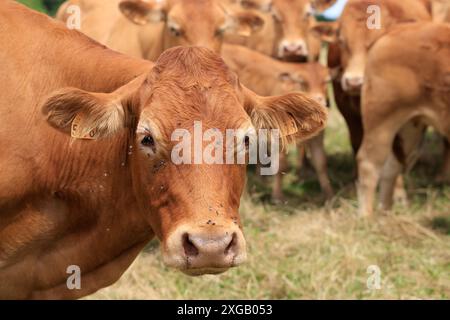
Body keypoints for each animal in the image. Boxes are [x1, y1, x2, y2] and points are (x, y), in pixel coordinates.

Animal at [221, 44, 334, 200]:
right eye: (303, 82)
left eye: (326, 81)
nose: (319, 99)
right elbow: (281, 165)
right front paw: (277, 196)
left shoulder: (318, 137)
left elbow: (321, 162)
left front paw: (329, 195)